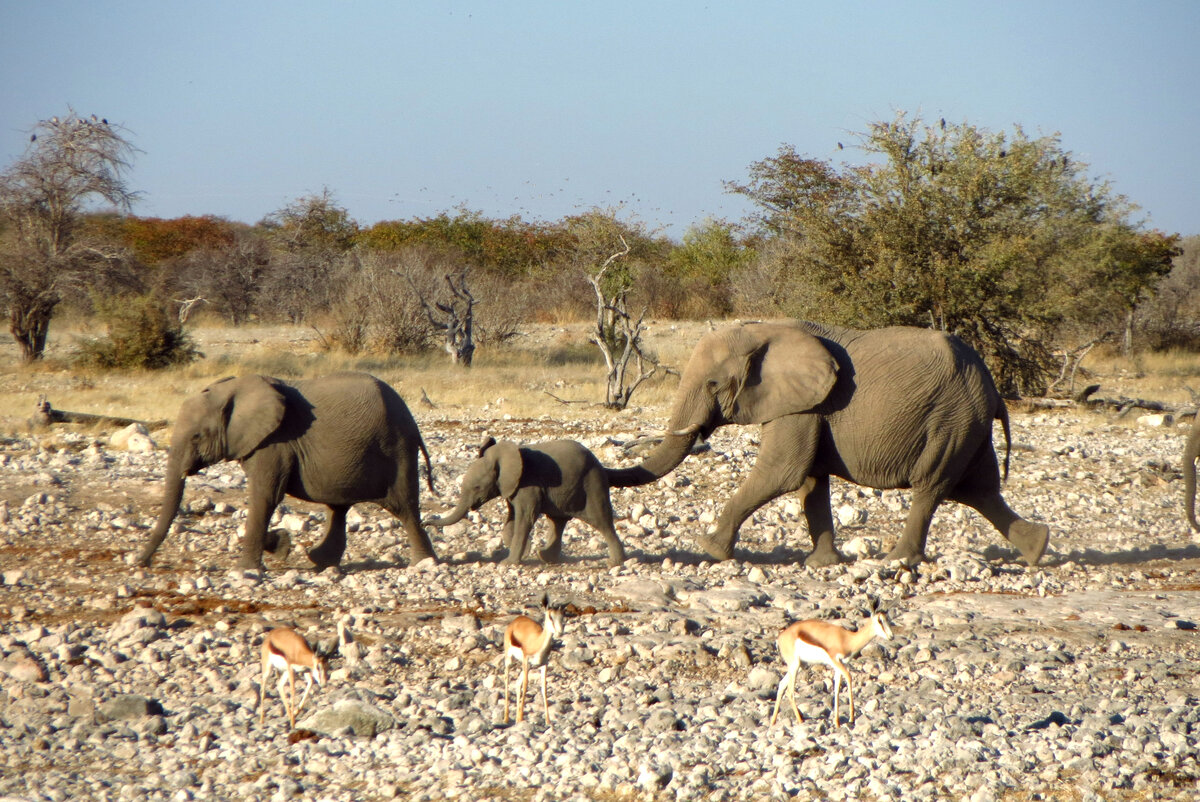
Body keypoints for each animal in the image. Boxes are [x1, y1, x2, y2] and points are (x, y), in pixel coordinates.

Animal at [136, 374, 436, 569]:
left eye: (197, 436)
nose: (141, 562)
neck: (235, 388)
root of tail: (412, 421)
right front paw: (281, 546)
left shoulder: (276, 442)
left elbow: (265, 497)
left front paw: (246, 570)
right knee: (338, 509)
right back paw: (320, 562)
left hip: (398, 448)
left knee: (405, 508)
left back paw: (424, 564)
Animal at [422, 434, 628, 566]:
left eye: (477, 488)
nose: (425, 523)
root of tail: (600, 464)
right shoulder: (512, 487)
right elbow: (512, 518)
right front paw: (523, 551)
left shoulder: (529, 484)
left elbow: (525, 518)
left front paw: (508, 563)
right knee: (557, 521)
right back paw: (545, 557)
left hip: (592, 484)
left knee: (601, 521)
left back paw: (615, 562)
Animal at [609, 316, 1051, 566]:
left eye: (714, 384)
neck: (765, 330)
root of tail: (992, 388)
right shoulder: (808, 404)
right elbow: (810, 483)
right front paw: (820, 565)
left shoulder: (802, 406)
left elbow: (783, 473)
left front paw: (709, 549)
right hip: (967, 423)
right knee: (979, 490)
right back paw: (1037, 549)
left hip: (951, 419)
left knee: (933, 486)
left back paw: (896, 561)